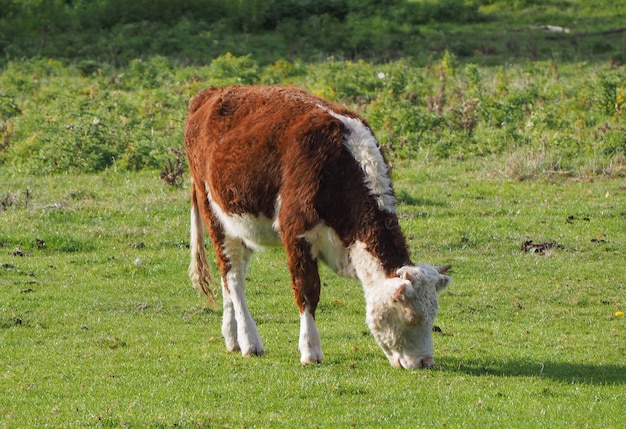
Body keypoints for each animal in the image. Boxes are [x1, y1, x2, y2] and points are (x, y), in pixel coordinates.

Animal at [183, 84, 450, 368]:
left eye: (433, 315)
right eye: (411, 317)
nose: (425, 362)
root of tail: (213, 92)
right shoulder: (296, 233)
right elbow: (308, 291)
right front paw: (310, 350)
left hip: (239, 222)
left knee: (231, 276)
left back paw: (232, 337)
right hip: (212, 212)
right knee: (233, 277)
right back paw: (249, 342)